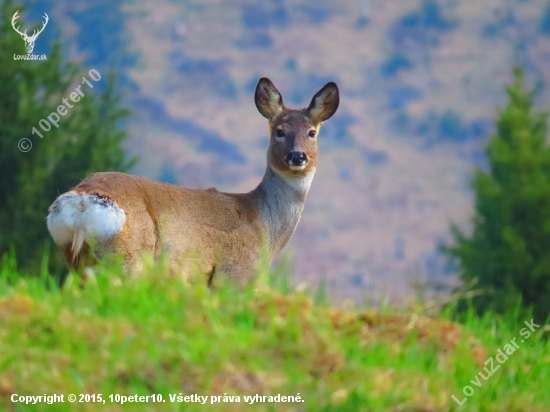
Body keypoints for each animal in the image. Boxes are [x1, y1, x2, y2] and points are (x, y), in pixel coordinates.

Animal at [47, 79, 340, 286]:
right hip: (129, 257)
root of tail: (82, 200)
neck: (266, 226)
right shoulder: (233, 274)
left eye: (311, 132)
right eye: (279, 131)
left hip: (76, 259)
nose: (297, 156)